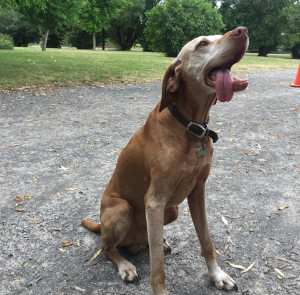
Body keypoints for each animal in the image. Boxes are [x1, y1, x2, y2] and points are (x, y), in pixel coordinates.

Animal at [82, 26, 248, 294]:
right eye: (203, 44)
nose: (242, 31)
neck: (189, 128)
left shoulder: (197, 192)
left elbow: (207, 241)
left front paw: (217, 275)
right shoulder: (154, 201)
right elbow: (158, 269)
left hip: (172, 210)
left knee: (145, 242)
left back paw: (156, 242)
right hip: (122, 209)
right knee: (108, 248)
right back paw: (125, 265)